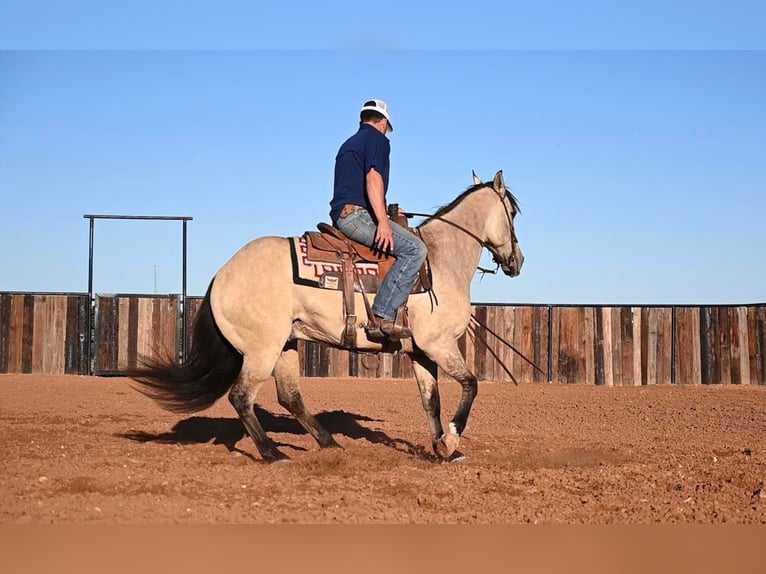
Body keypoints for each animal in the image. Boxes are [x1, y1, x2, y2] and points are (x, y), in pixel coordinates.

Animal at [134, 170, 528, 464]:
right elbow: (471, 385)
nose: (517, 261)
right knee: (241, 397)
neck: (441, 258)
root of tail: (222, 275)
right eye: (513, 213)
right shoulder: (439, 344)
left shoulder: (420, 351)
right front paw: (451, 441)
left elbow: (431, 400)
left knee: (290, 397)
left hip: (286, 345)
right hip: (262, 350)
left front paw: (441, 449)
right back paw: (274, 453)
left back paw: (329, 443)